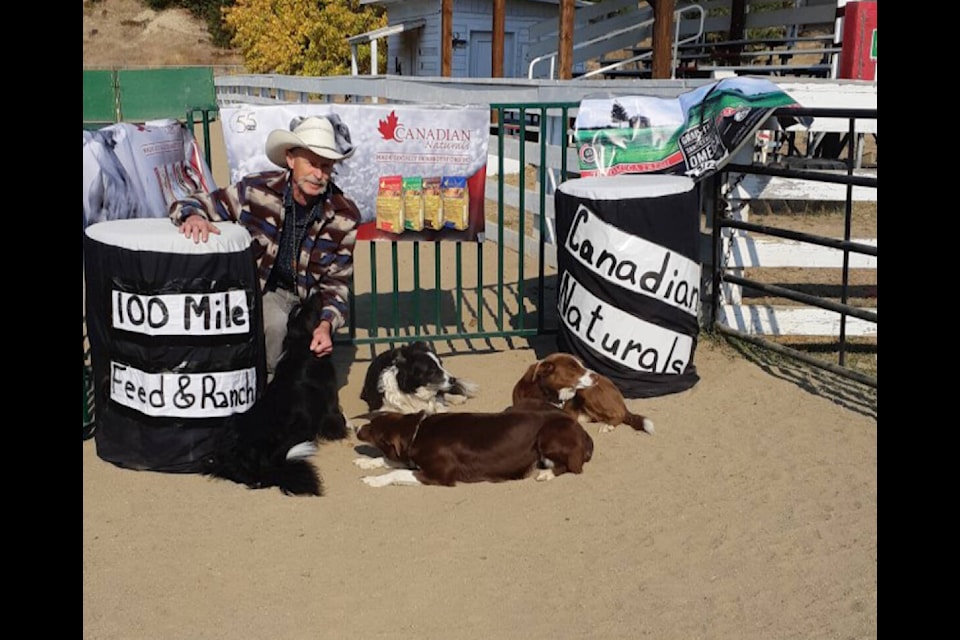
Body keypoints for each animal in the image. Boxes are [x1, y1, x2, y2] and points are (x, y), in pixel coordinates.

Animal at [202, 292, 348, 498]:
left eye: (303, 306)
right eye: (309, 308)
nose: (318, 292)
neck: (300, 344)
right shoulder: (330, 400)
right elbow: (336, 421)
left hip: (232, 420)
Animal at [352, 408, 592, 488]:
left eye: (372, 431)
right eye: (371, 423)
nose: (356, 428)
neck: (417, 432)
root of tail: (583, 432)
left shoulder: (439, 475)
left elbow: (396, 471)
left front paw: (373, 480)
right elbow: (389, 461)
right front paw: (366, 462)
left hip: (547, 436)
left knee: (572, 466)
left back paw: (546, 474)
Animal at [512, 350, 656, 436]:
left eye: (582, 364)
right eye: (572, 368)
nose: (597, 376)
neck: (548, 393)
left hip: (587, 392)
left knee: (619, 414)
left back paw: (608, 425)